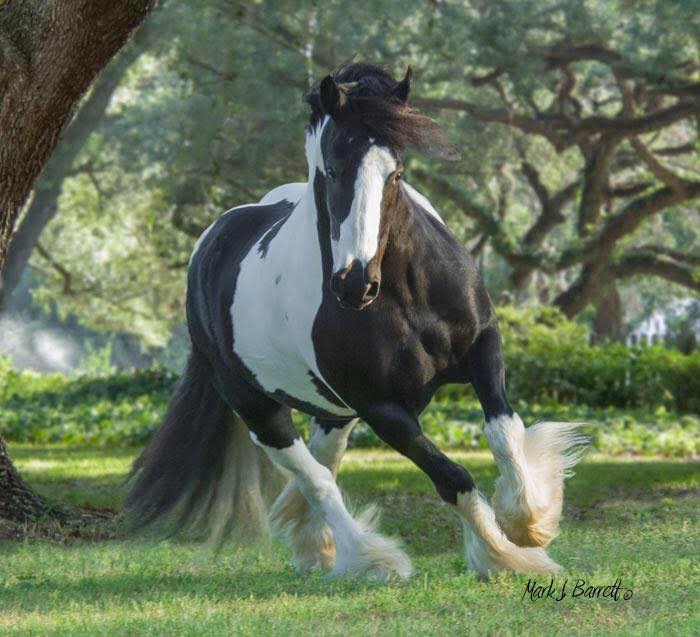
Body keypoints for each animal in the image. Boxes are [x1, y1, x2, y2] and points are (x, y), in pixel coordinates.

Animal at [126, 62, 584, 580]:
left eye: (396, 172)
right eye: (331, 169)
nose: (354, 283)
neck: (405, 296)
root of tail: (213, 240)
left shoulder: (483, 346)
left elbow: (504, 430)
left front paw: (528, 523)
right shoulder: (381, 408)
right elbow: (453, 477)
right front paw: (505, 556)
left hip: (332, 411)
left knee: (323, 464)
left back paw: (313, 544)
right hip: (259, 408)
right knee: (317, 480)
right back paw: (368, 557)